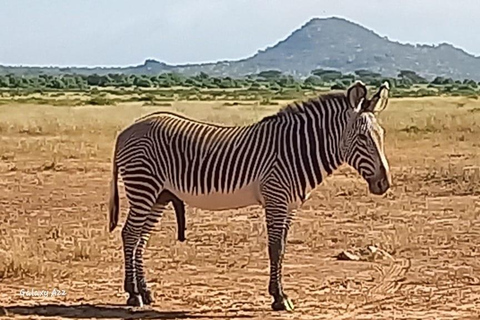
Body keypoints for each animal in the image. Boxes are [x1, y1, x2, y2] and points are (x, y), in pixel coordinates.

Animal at [108, 81, 390, 312]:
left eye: (382, 135)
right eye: (362, 137)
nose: (384, 183)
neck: (295, 150)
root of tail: (126, 130)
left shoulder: (290, 205)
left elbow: (282, 247)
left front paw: (280, 294)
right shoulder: (276, 198)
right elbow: (276, 248)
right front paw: (279, 297)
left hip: (159, 195)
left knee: (141, 238)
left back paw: (145, 291)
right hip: (143, 186)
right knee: (130, 234)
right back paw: (133, 294)